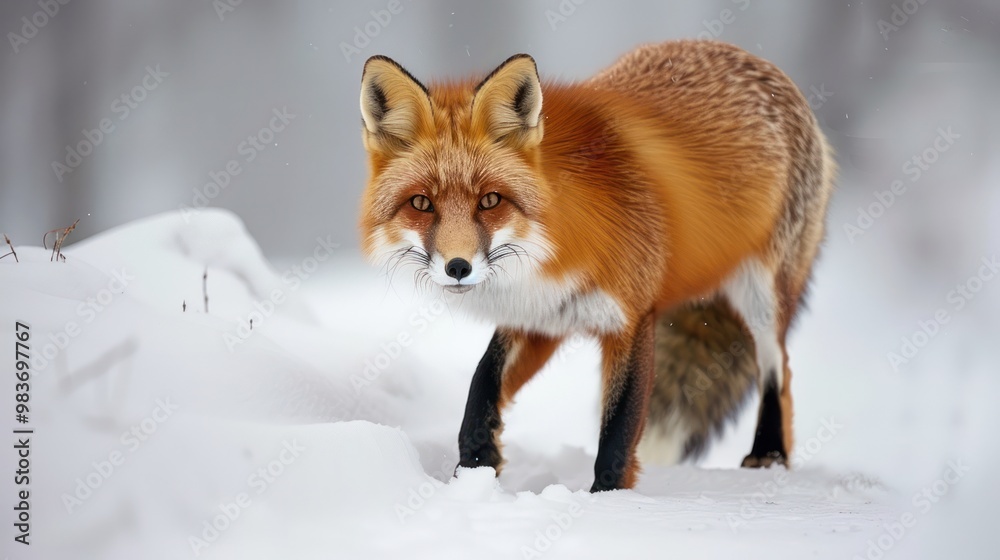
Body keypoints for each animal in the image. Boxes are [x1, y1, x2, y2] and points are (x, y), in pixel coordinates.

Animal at [357, 40, 834, 492]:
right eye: (421, 204)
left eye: (490, 200)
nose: (457, 267)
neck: (553, 245)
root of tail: (756, 60)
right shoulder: (542, 317)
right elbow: (482, 383)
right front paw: (475, 470)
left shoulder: (631, 319)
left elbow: (619, 430)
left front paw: (605, 502)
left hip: (762, 294)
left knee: (778, 368)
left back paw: (769, 452)